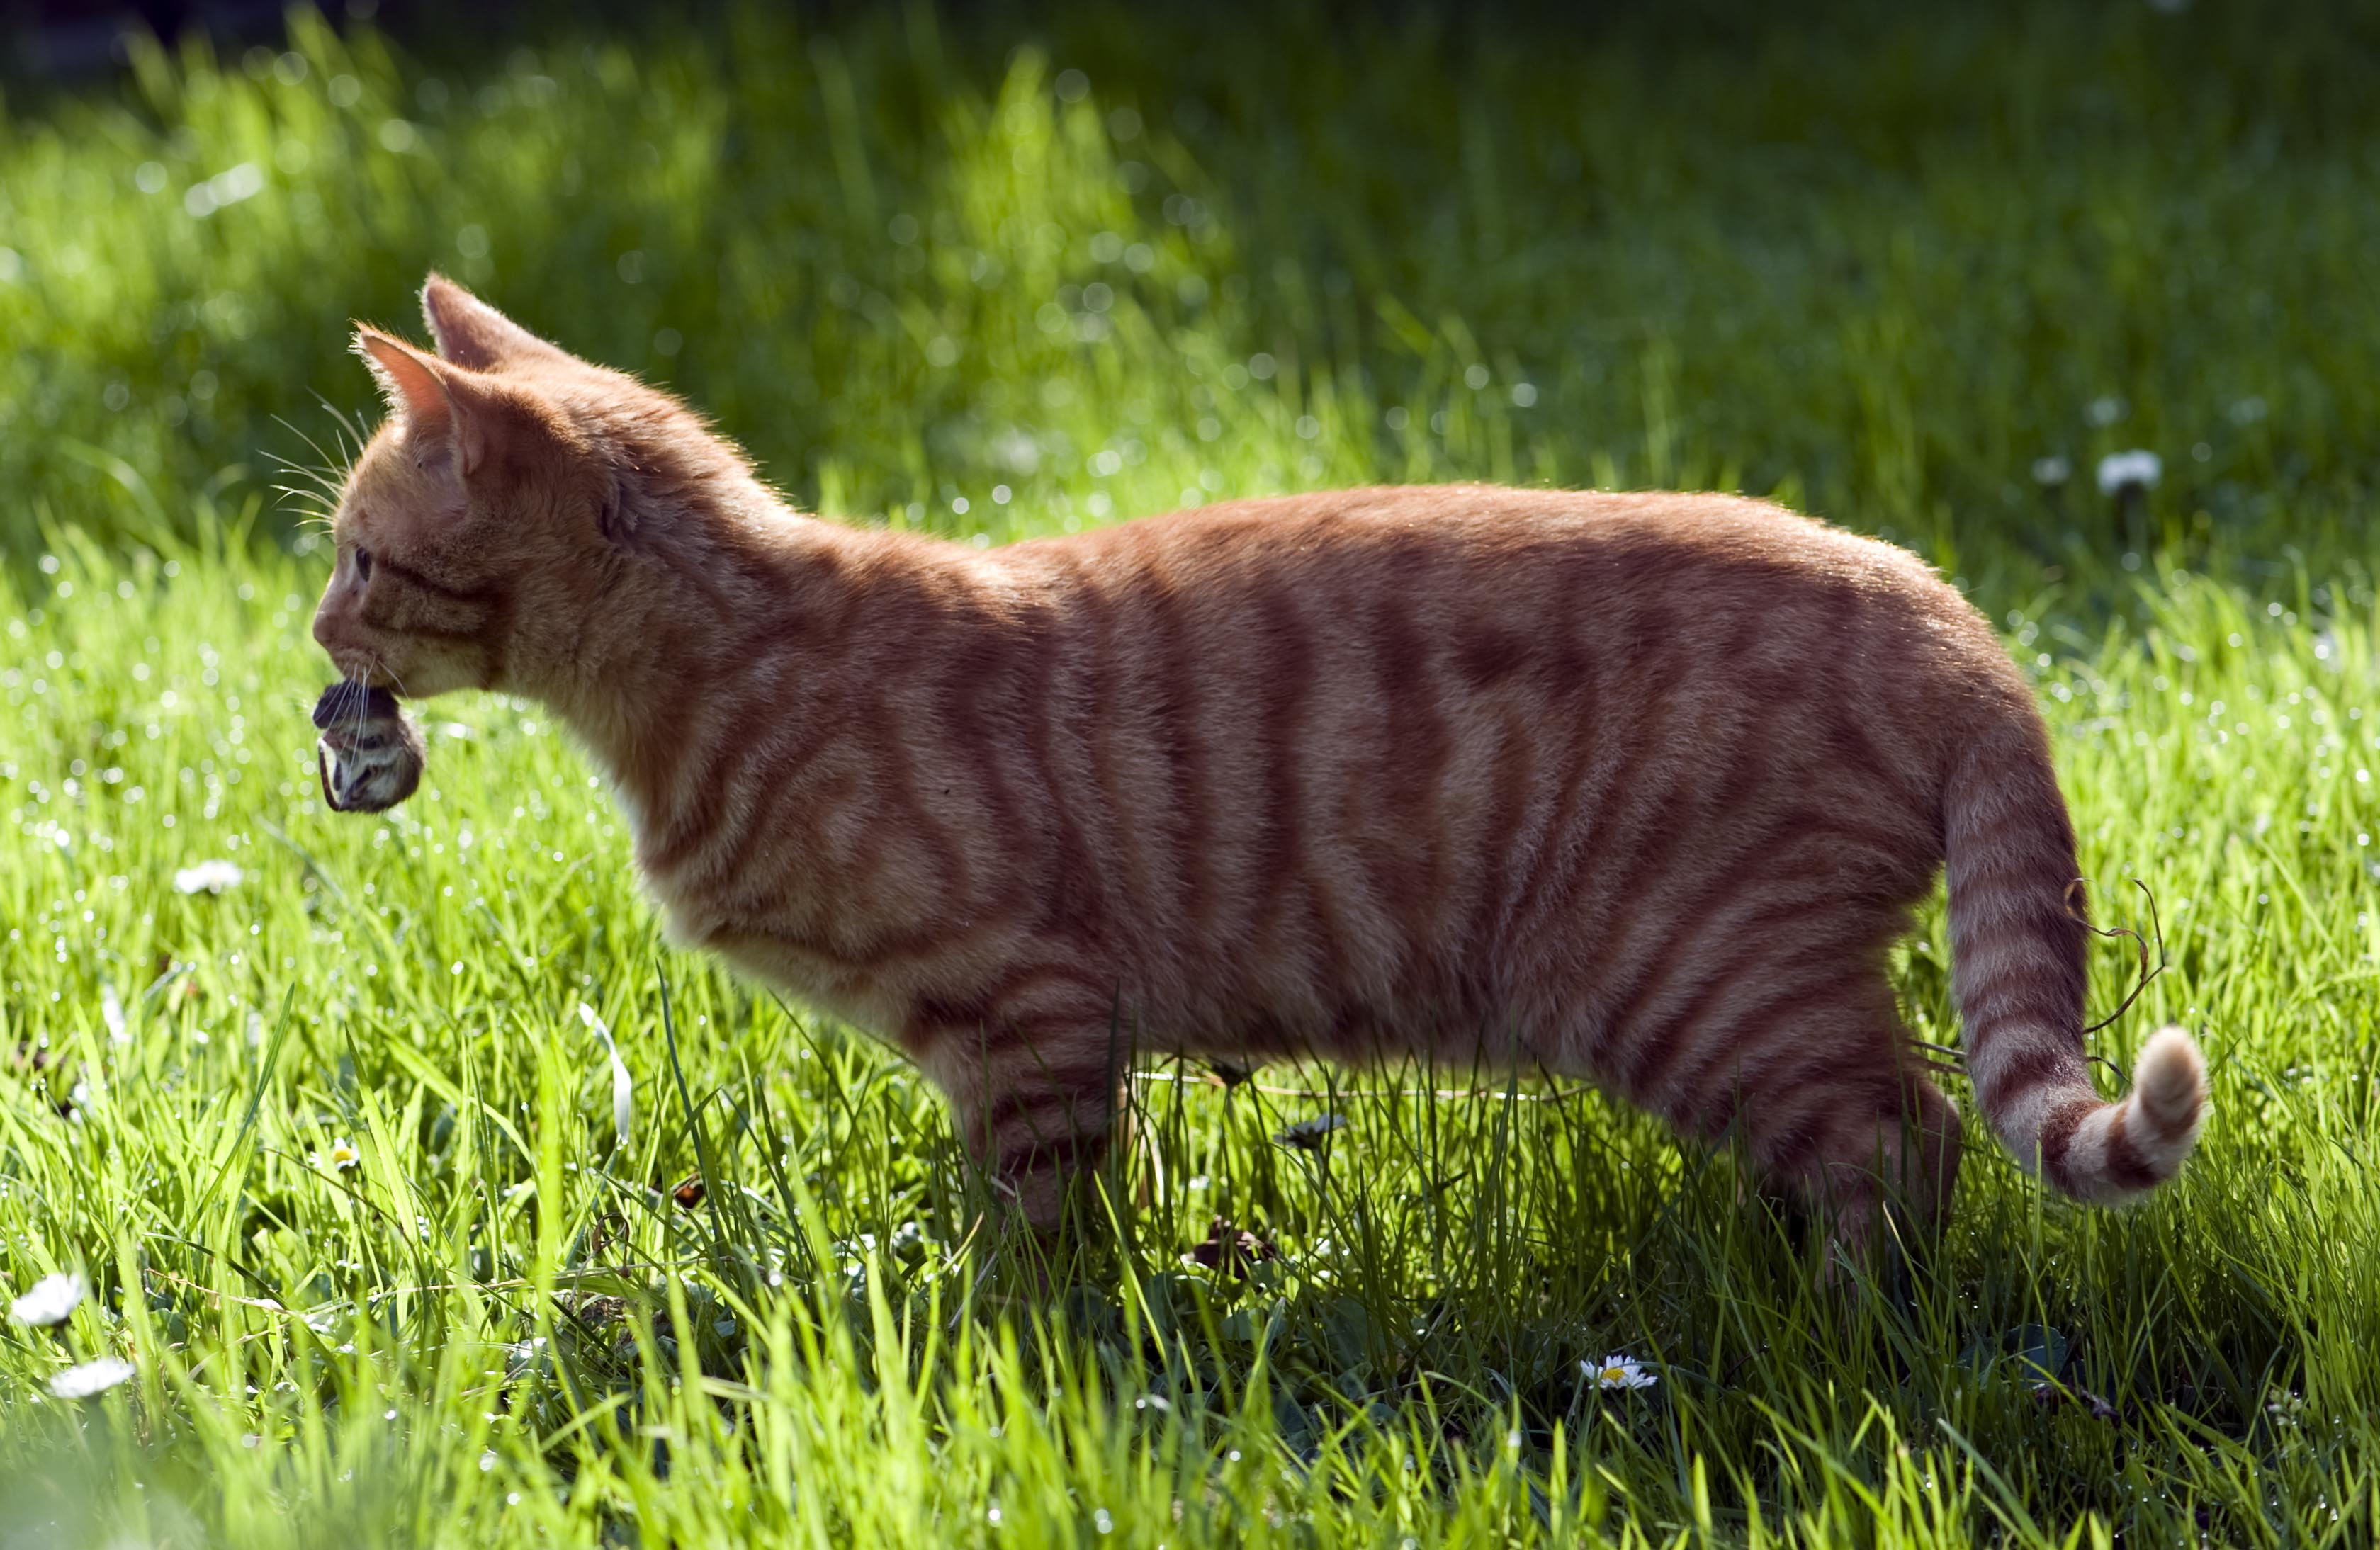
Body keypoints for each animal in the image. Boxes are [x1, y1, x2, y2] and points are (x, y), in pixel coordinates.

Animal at [316, 272, 2209, 1257]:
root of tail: (1946, 608)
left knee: (1903, 1146)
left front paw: (1008, 1347)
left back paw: (1840, 1333)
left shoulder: (1027, 1010)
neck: (735, 660)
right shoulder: (1054, 1036)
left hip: (1694, 981)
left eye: (352, 555)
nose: (314, 636)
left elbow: (1032, 1237)